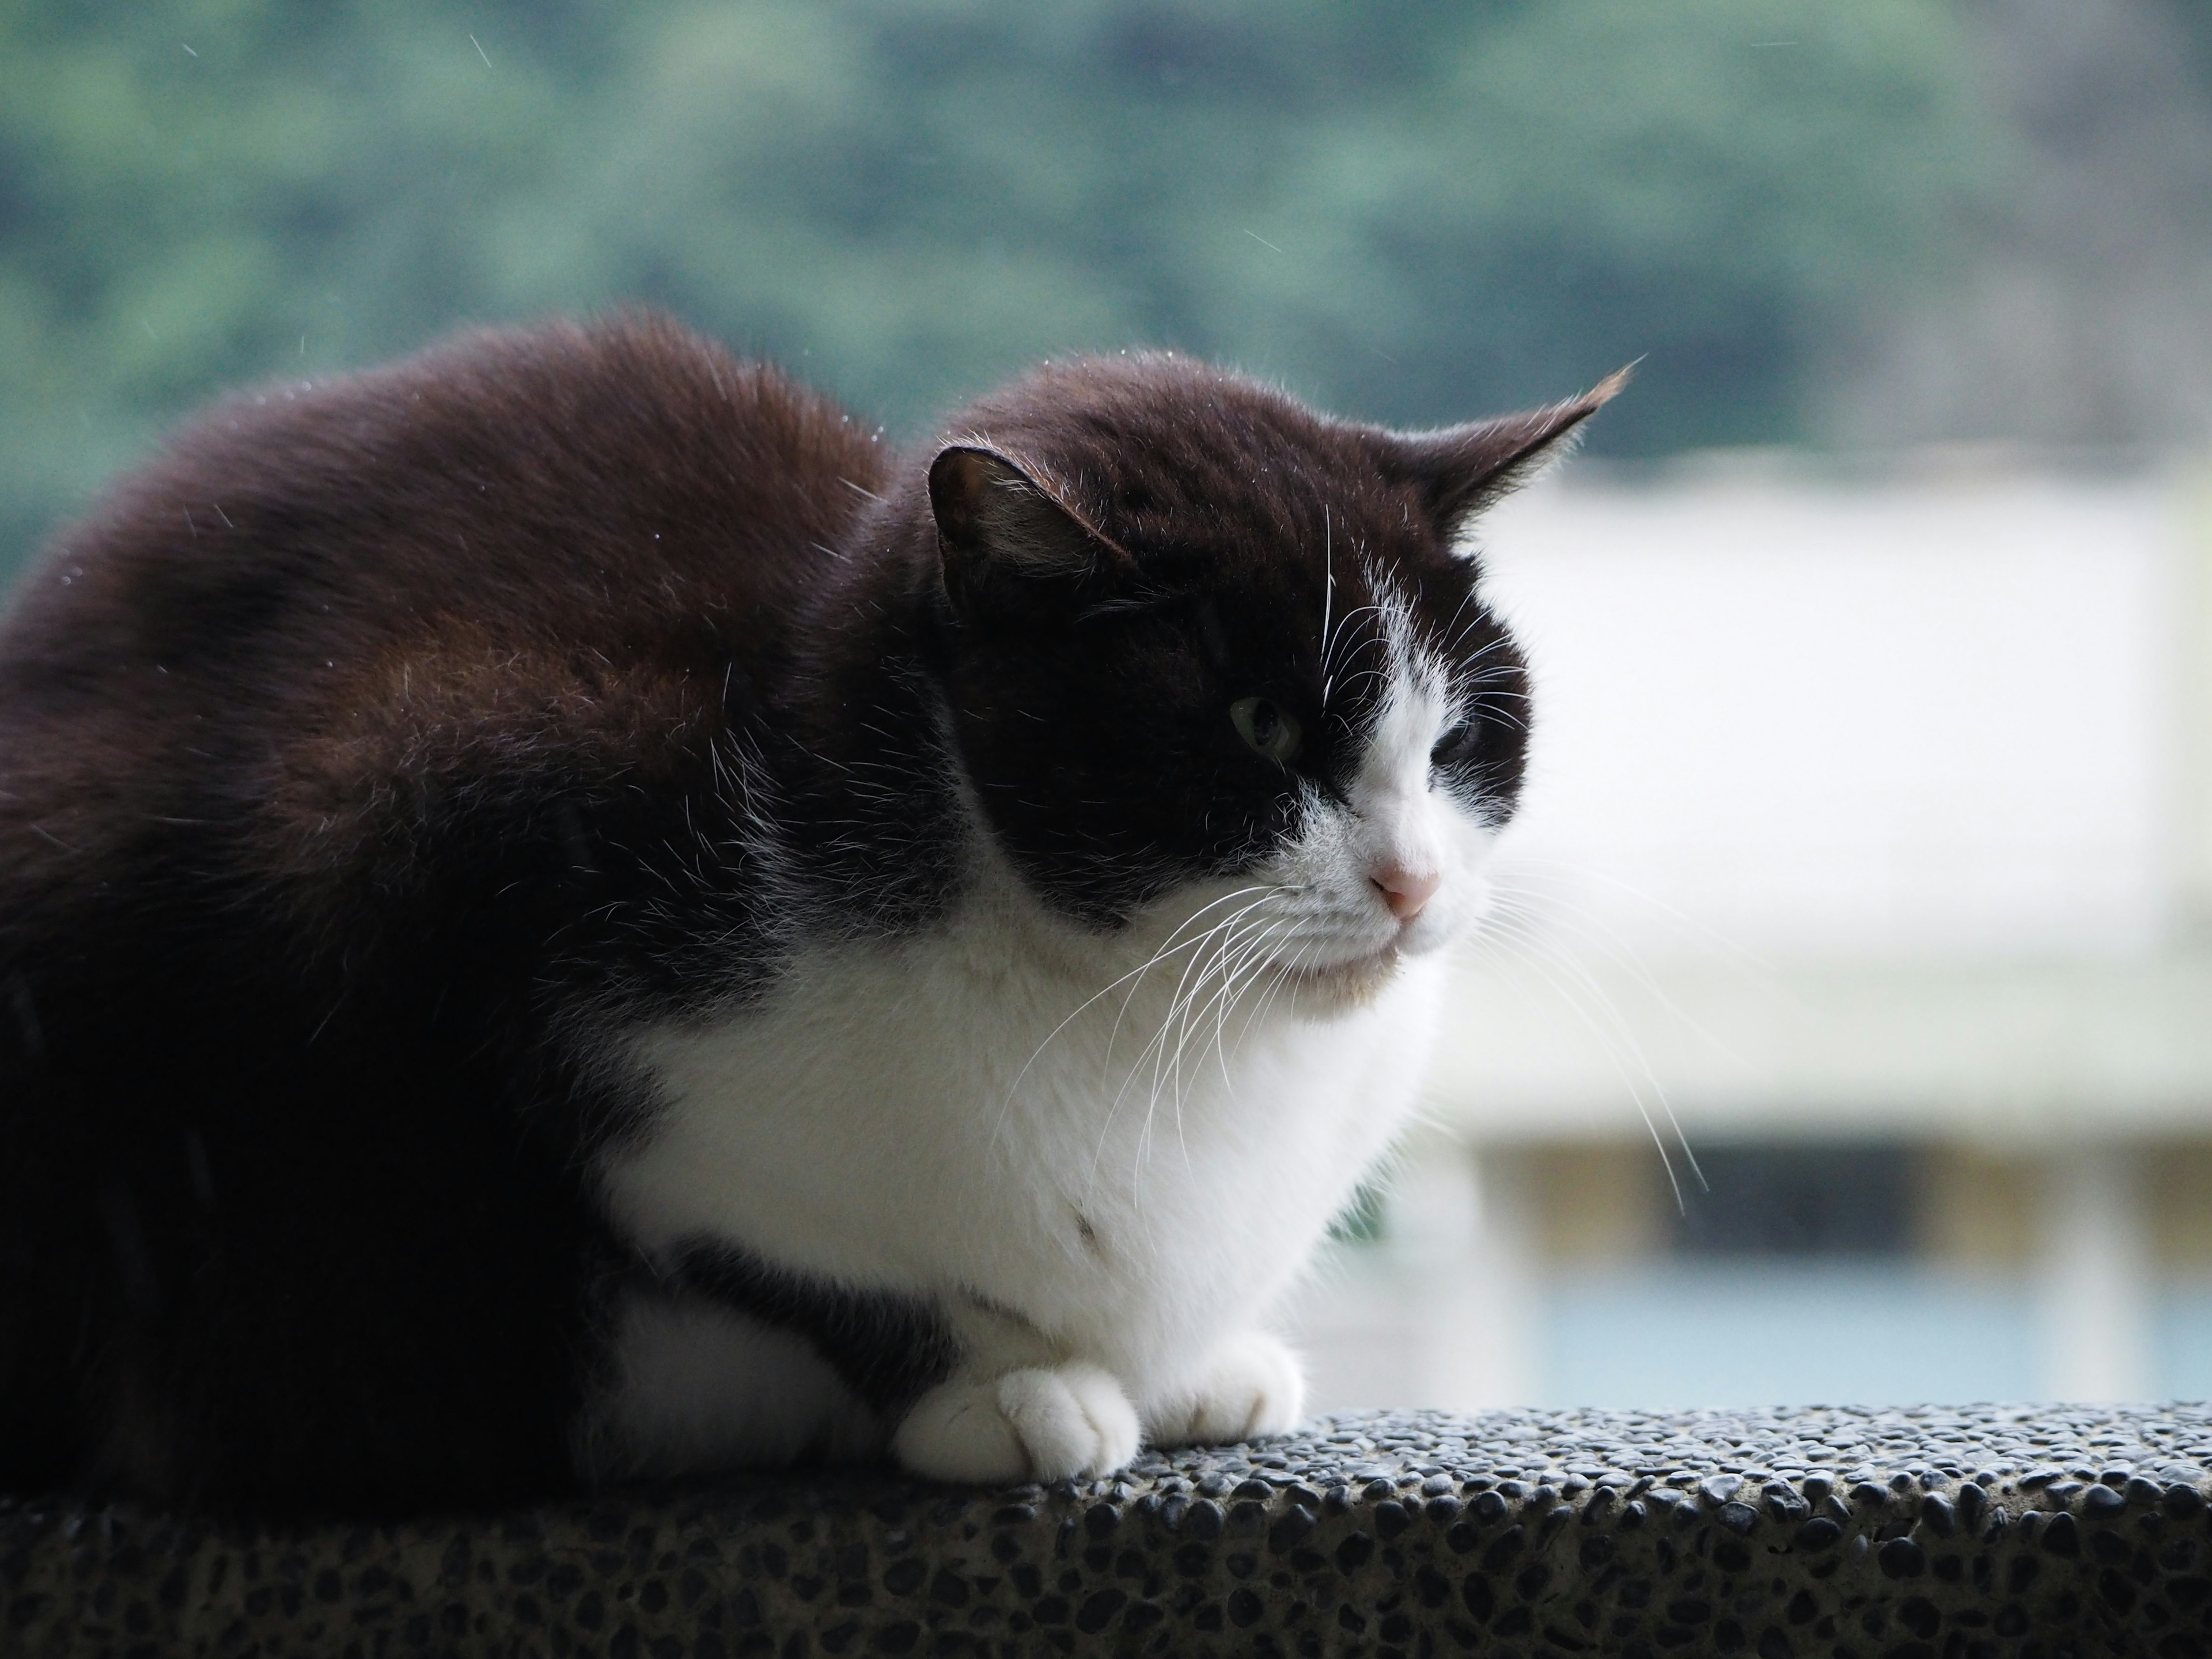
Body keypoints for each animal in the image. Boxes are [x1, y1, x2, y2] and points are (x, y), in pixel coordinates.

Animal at [0, 314, 1619, 1521]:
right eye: (1261, 728)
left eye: (1456, 738)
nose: (1413, 883)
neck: (1150, 1016)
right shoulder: (471, 859)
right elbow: (815, 1263)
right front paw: (1004, 1386)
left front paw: (1186, 1367)